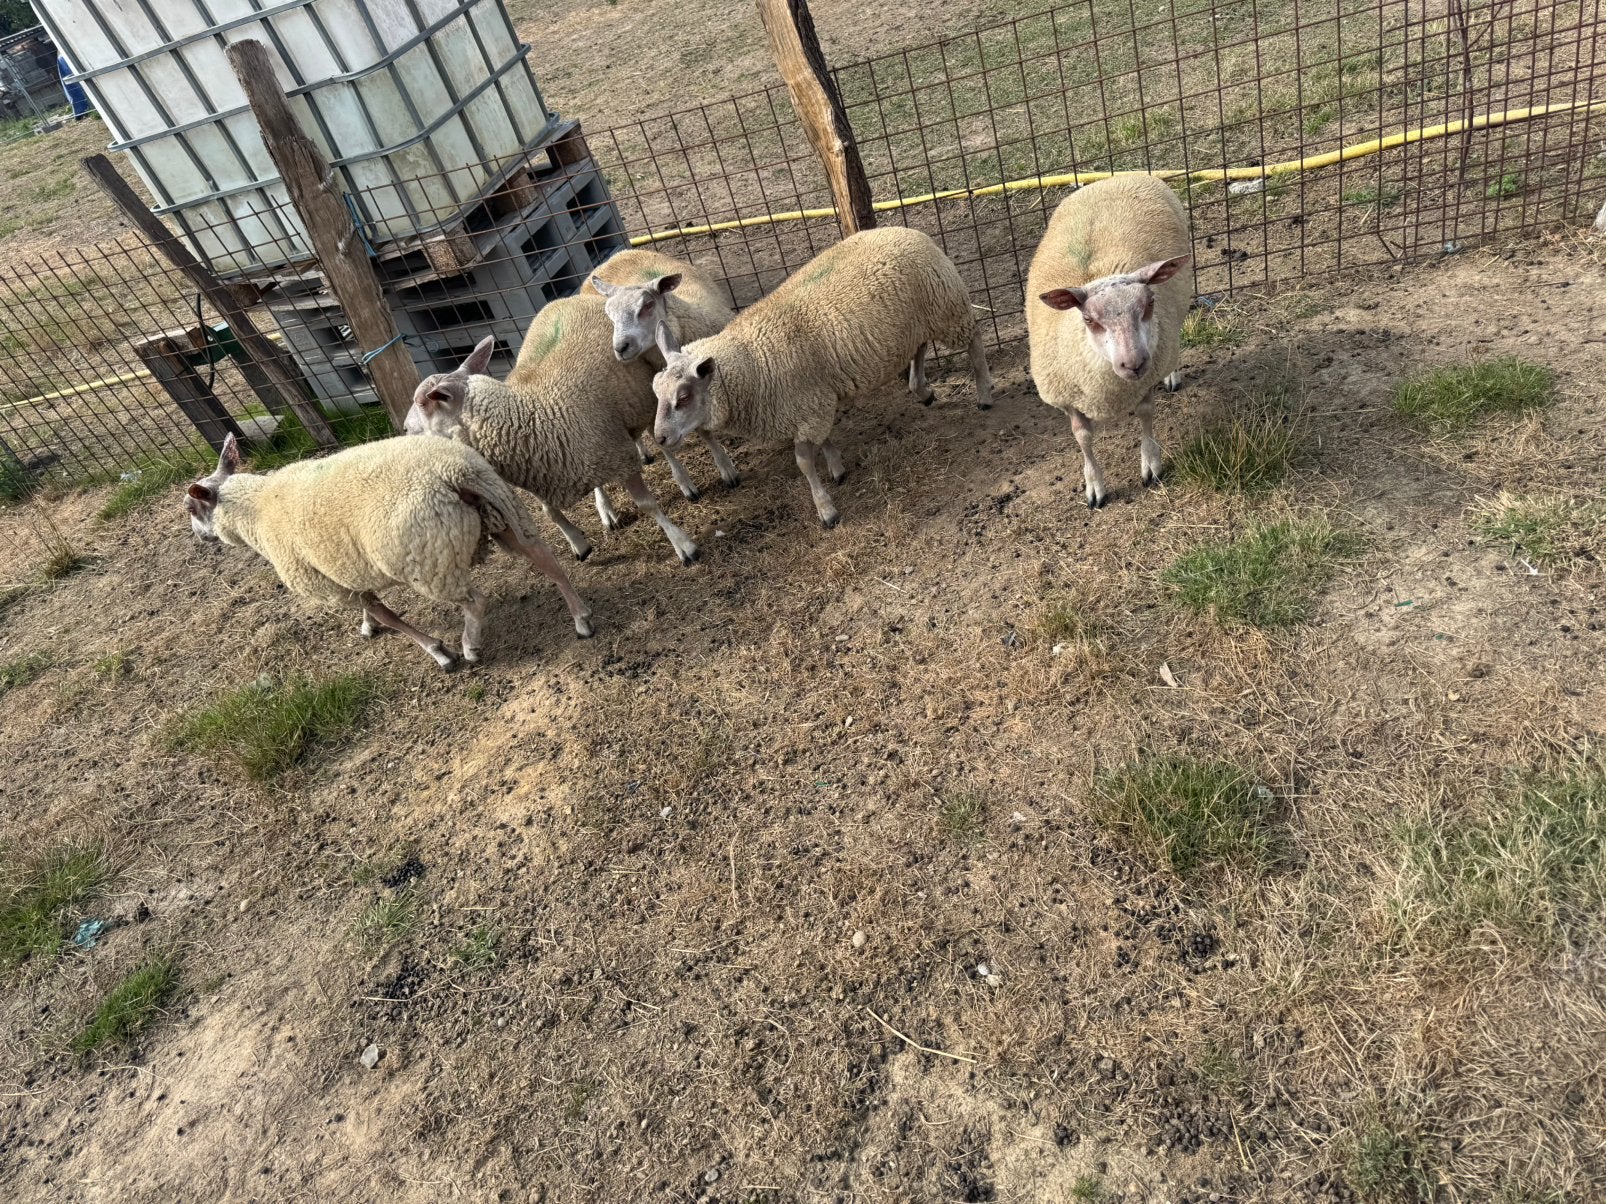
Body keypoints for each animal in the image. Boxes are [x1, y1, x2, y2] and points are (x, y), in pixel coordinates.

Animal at [183, 432, 593, 672]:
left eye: (191, 509)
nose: (200, 538)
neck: (258, 510)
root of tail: (455, 471)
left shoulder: (328, 585)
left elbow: (389, 615)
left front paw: (438, 652)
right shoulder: (342, 576)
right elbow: (373, 608)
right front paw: (368, 627)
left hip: (428, 563)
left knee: (475, 601)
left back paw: (470, 647)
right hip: (505, 516)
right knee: (550, 563)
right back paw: (582, 619)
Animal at [405, 302, 701, 566]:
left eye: (422, 402)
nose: (405, 429)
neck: (530, 413)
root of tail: (565, 299)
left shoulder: (619, 456)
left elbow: (647, 504)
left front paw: (682, 545)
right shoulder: (542, 470)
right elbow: (549, 513)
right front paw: (578, 544)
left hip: (646, 395)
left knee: (661, 441)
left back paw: (683, 482)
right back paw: (605, 509)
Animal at [582, 249, 743, 513]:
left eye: (647, 305)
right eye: (609, 316)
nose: (620, 348)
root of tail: (617, 254)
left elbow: (705, 430)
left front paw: (726, 469)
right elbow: (663, 438)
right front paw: (687, 483)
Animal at [649, 224, 991, 529]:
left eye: (683, 396)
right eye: (656, 392)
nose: (660, 438)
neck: (753, 361)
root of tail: (908, 231)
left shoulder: (809, 407)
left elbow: (803, 462)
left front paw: (826, 510)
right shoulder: (814, 405)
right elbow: (825, 440)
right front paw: (837, 467)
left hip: (947, 308)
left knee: (974, 340)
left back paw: (984, 394)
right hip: (918, 320)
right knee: (919, 347)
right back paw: (922, 390)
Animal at [1024, 174, 1194, 509]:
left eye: (1149, 304)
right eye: (1089, 320)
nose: (1134, 363)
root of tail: (1117, 176)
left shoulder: (1144, 381)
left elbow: (1145, 414)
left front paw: (1151, 465)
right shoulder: (1068, 397)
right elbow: (1083, 437)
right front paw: (1094, 486)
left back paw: (1172, 375)